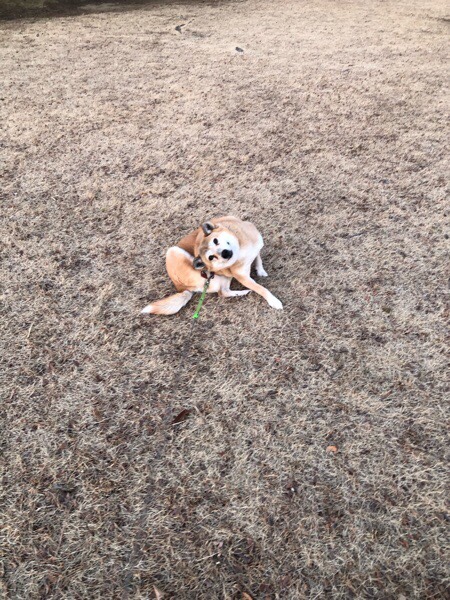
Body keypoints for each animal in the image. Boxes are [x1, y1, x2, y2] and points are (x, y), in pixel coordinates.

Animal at [141, 216, 283, 315]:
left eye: (215, 240)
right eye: (211, 257)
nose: (225, 253)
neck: (241, 250)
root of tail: (180, 287)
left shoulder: (256, 245)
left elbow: (258, 257)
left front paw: (260, 270)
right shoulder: (243, 277)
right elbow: (261, 289)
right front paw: (273, 301)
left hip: (223, 276)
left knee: (224, 291)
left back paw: (243, 292)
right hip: (174, 252)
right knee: (222, 293)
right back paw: (244, 291)